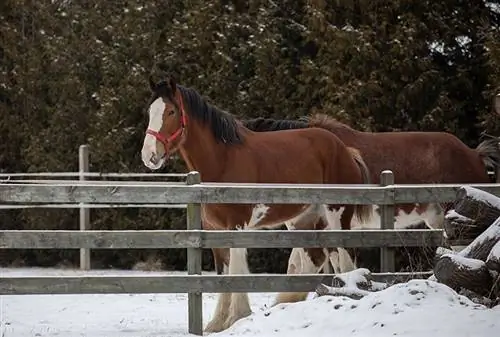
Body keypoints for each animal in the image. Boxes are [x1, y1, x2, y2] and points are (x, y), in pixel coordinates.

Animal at [139, 77, 374, 332]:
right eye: (150, 111)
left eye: (171, 111)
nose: (149, 155)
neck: (223, 160)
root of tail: (345, 150)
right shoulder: (215, 230)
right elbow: (222, 273)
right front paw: (218, 323)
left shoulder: (237, 226)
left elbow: (235, 271)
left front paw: (237, 316)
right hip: (303, 219)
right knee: (315, 259)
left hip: (337, 214)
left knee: (345, 258)